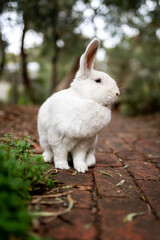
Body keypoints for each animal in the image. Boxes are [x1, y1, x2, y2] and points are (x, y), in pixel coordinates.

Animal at [38, 38, 119, 172]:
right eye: (98, 80)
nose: (117, 93)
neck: (83, 98)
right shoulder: (57, 138)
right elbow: (60, 154)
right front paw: (63, 166)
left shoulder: (83, 142)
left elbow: (79, 156)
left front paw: (82, 168)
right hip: (44, 139)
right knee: (48, 150)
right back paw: (46, 158)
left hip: (93, 143)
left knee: (90, 154)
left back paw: (89, 162)